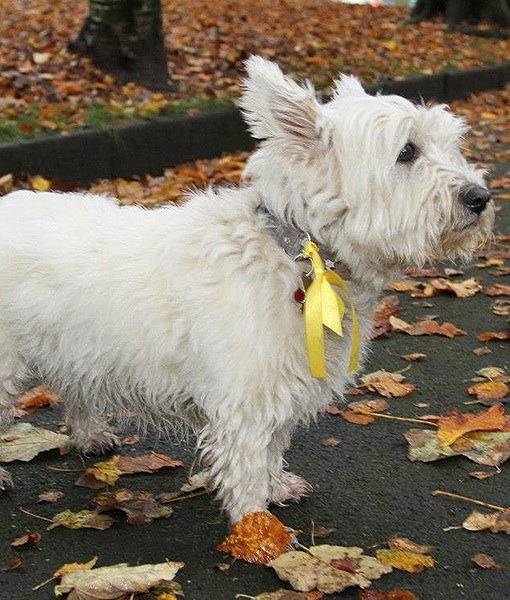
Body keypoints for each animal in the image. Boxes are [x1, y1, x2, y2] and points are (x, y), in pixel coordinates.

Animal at [0, 58, 494, 524]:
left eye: (451, 144)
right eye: (407, 152)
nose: (481, 198)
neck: (298, 253)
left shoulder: (280, 388)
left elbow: (273, 448)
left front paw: (276, 490)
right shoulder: (246, 401)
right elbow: (249, 462)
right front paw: (257, 527)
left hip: (75, 350)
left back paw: (91, 435)